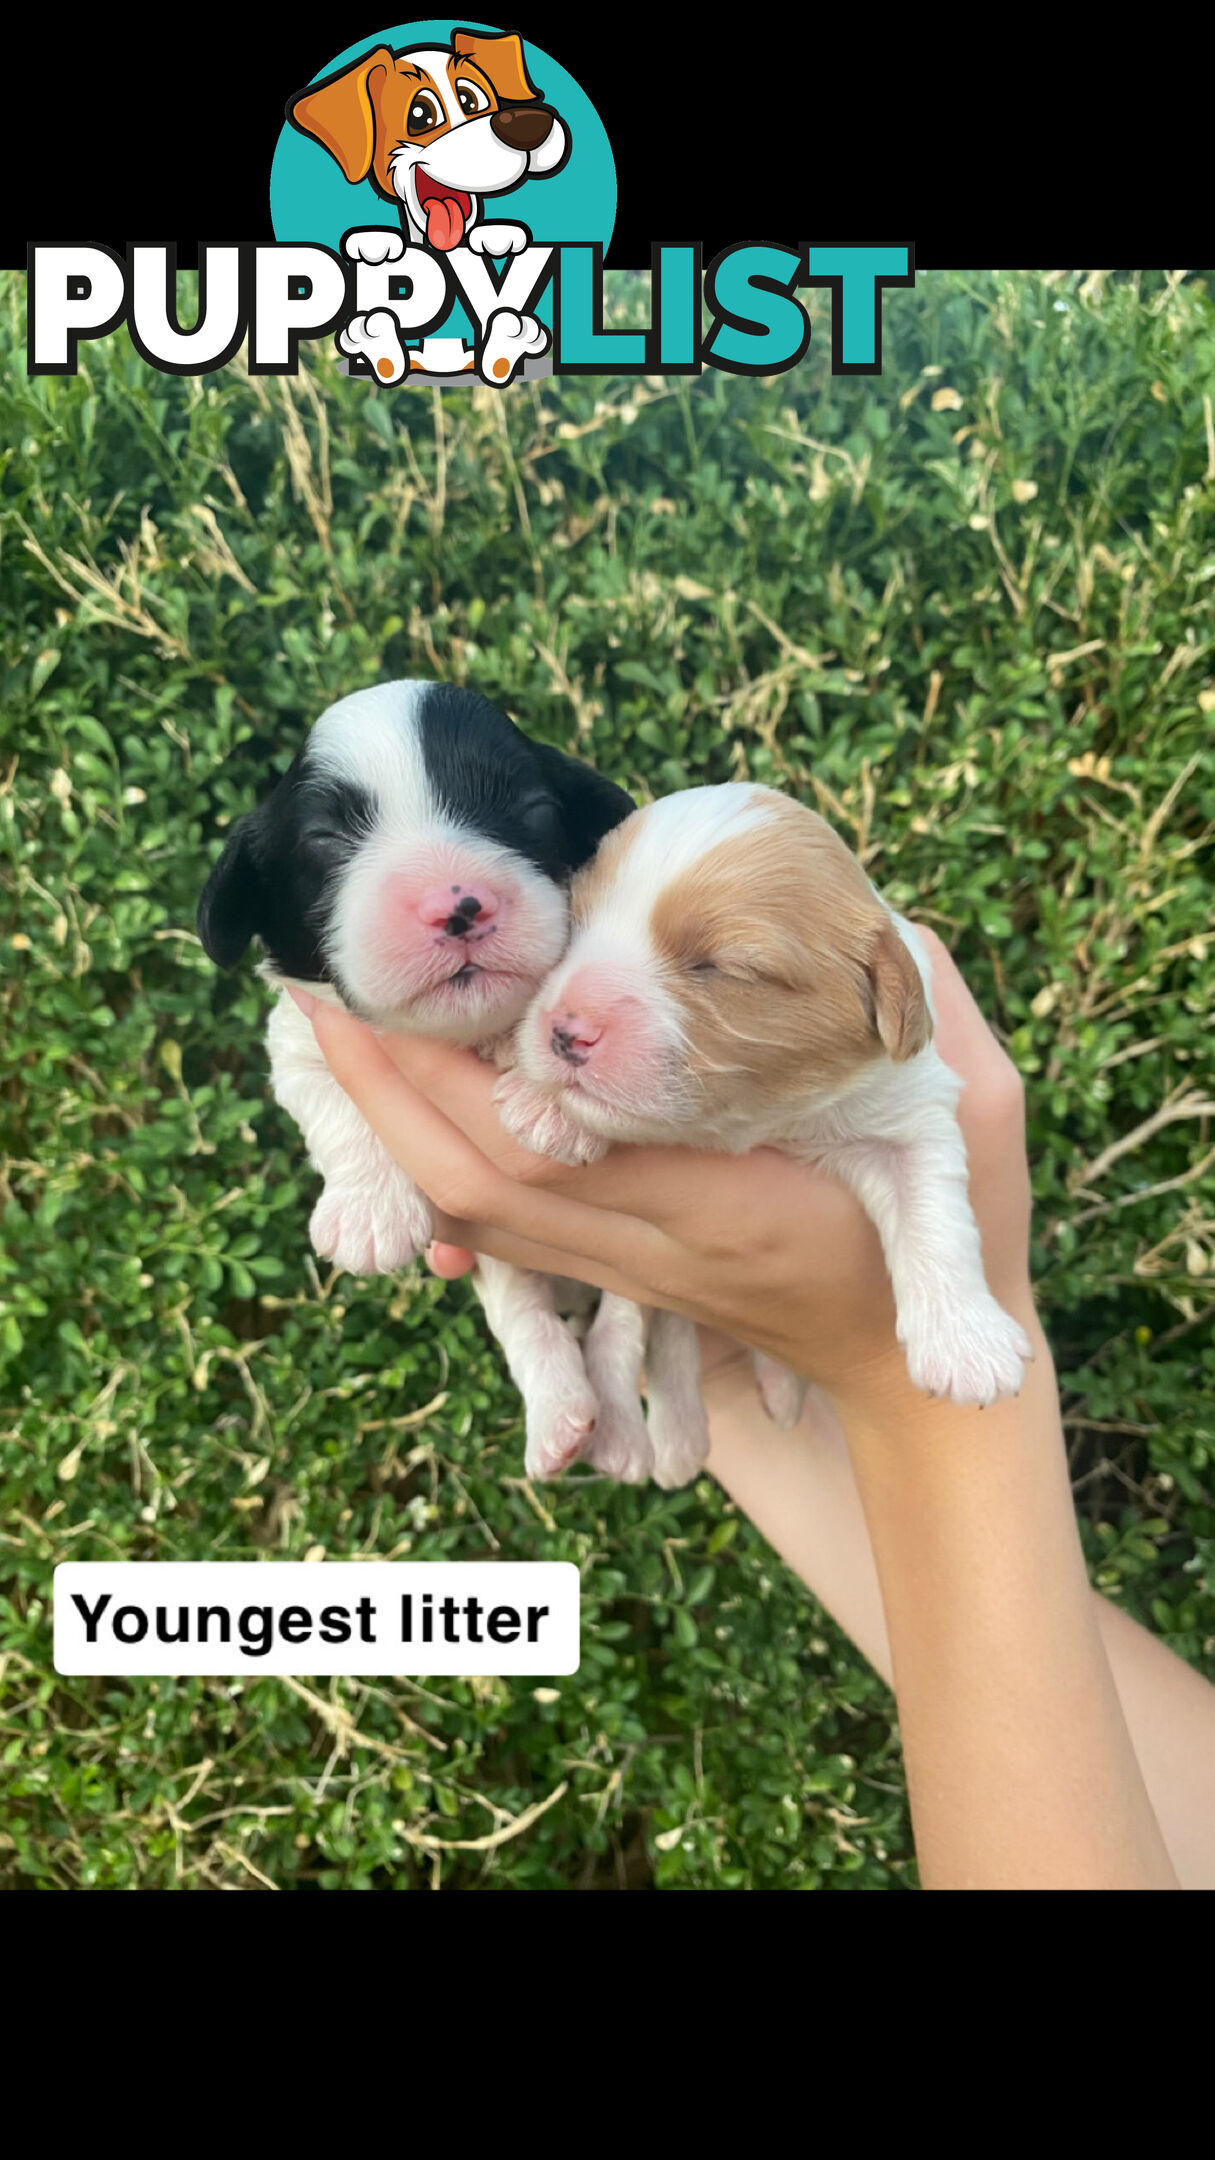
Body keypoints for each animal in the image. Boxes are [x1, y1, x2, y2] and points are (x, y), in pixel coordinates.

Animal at [196, 682, 661, 1477]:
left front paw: (548, 1099)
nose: (458, 906)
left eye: (534, 810)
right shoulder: (301, 1039)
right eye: (326, 842)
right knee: (523, 1315)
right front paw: (370, 1213)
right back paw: (561, 1420)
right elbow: (335, 1106)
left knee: (620, 1327)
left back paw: (622, 1437)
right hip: (505, 1260)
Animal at [495, 786, 1029, 1494]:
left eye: (722, 967)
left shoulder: (910, 1106)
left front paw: (967, 1344)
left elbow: (935, 1213)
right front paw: (543, 1105)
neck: (762, 1122)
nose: (563, 1030)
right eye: (573, 928)